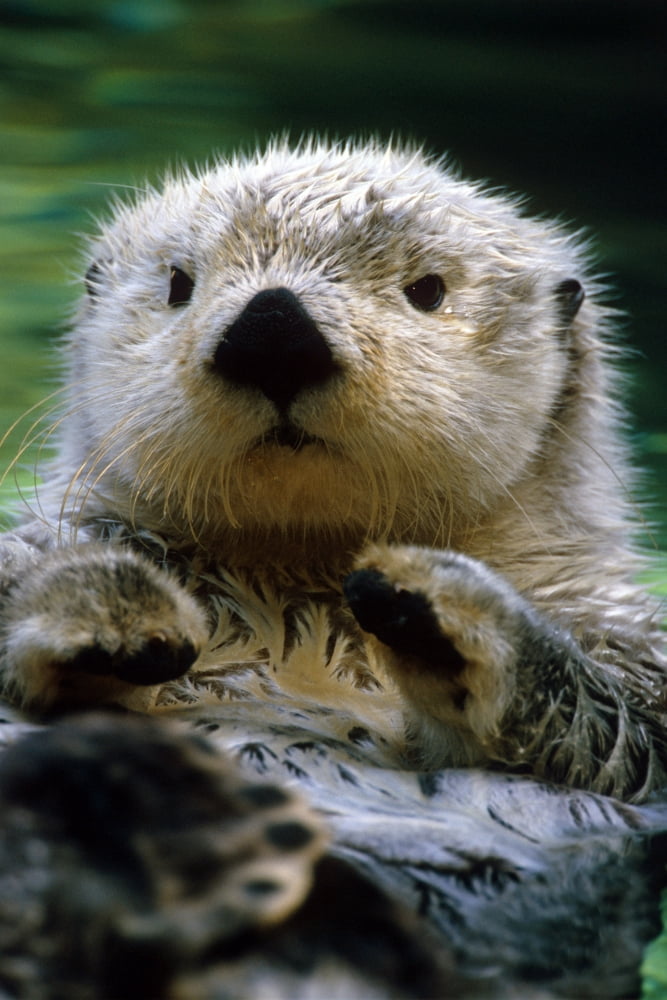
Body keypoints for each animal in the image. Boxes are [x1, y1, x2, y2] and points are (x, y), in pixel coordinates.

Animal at [0, 139, 666, 996]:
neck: (298, 595)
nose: (273, 329)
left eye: (427, 289)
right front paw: (109, 602)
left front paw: (441, 602)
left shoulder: (629, 648)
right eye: (180, 284)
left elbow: (617, 729)